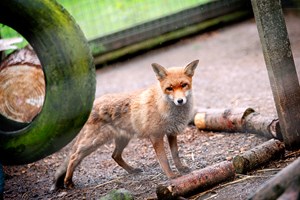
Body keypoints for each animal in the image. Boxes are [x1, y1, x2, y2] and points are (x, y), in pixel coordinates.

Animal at [50, 59, 198, 191]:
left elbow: (175, 154)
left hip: (122, 139)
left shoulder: (171, 133)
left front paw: (181, 168)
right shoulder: (156, 136)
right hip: (94, 142)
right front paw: (171, 176)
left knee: (115, 156)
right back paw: (68, 181)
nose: (180, 101)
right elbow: (164, 159)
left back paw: (132, 170)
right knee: (74, 156)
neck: (164, 107)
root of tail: (93, 104)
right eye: (169, 88)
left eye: (184, 85)